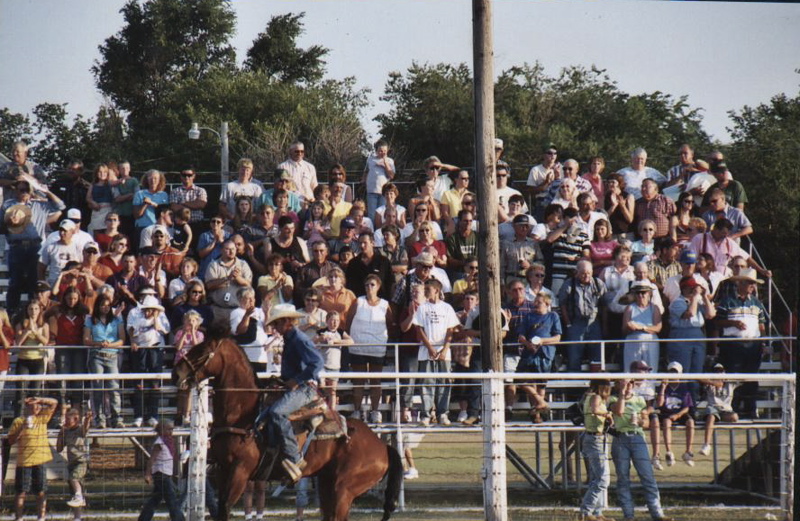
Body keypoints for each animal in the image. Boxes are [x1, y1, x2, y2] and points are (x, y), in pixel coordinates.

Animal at [173, 336, 404, 516]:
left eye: (202, 350)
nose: (177, 372)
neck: (244, 413)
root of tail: (382, 446)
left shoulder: (240, 472)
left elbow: (225, 509)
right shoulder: (222, 470)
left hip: (344, 490)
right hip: (327, 484)